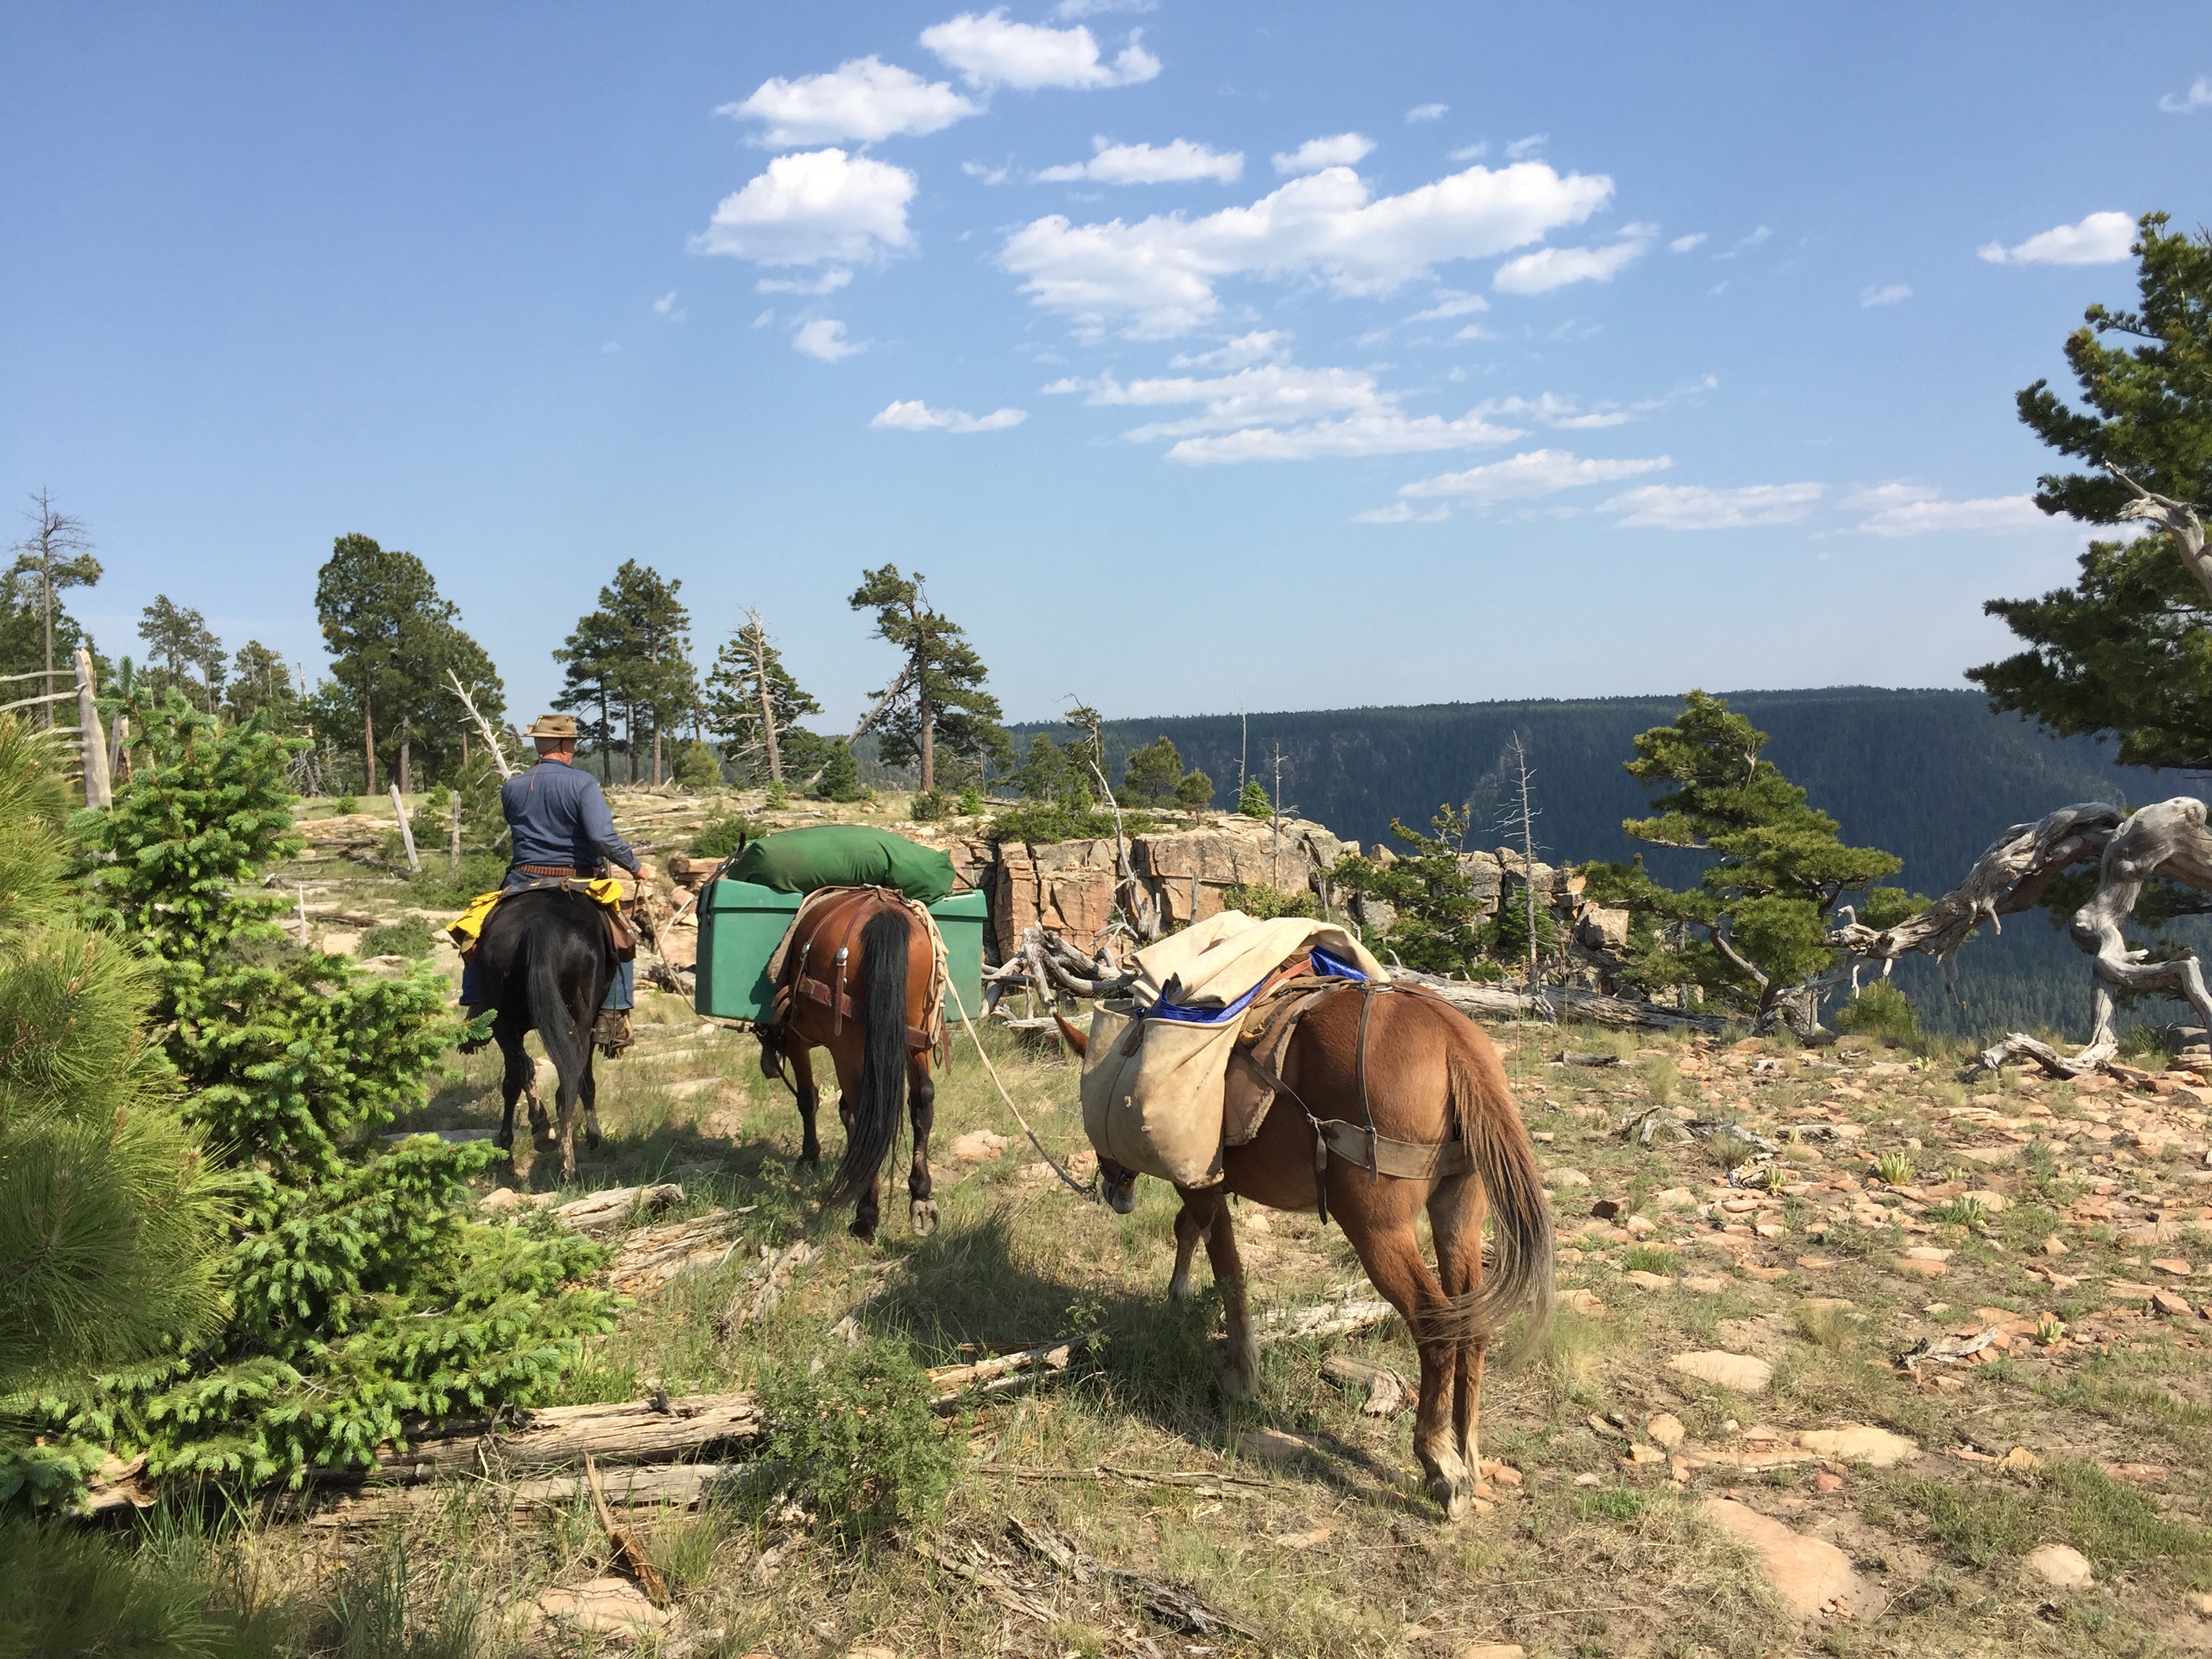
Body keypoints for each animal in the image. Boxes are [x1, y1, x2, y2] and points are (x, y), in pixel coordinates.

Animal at [472, 886, 615, 1182]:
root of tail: (540, 922)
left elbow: (515, 1079)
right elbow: (586, 1079)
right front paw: (594, 1134)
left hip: (503, 1022)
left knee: (520, 1072)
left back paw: (529, 1141)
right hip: (578, 1021)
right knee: (566, 1084)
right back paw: (566, 1165)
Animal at [756, 887, 943, 1243]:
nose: (768, 1066)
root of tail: (882, 912)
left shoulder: (797, 1040)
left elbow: (808, 1099)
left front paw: (809, 1157)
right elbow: (845, 1111)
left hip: (850, 1044)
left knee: (867, 1112)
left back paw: (865, 1217)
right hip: (915, 1033)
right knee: (922, 1100)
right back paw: (921, 1197)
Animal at [1059, 984, 1553, 1519]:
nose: (1114, 1189)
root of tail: (1452, 1039)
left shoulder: (1202, 1185)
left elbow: (1227, 1272)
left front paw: (1241, 1374)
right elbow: (1188, 1233)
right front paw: (1178, 1298)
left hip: (1377, 1228)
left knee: (1435, 1322)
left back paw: (1441, 1464)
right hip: (1459, 1211)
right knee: (1472, 1322)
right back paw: (1466, 1450)